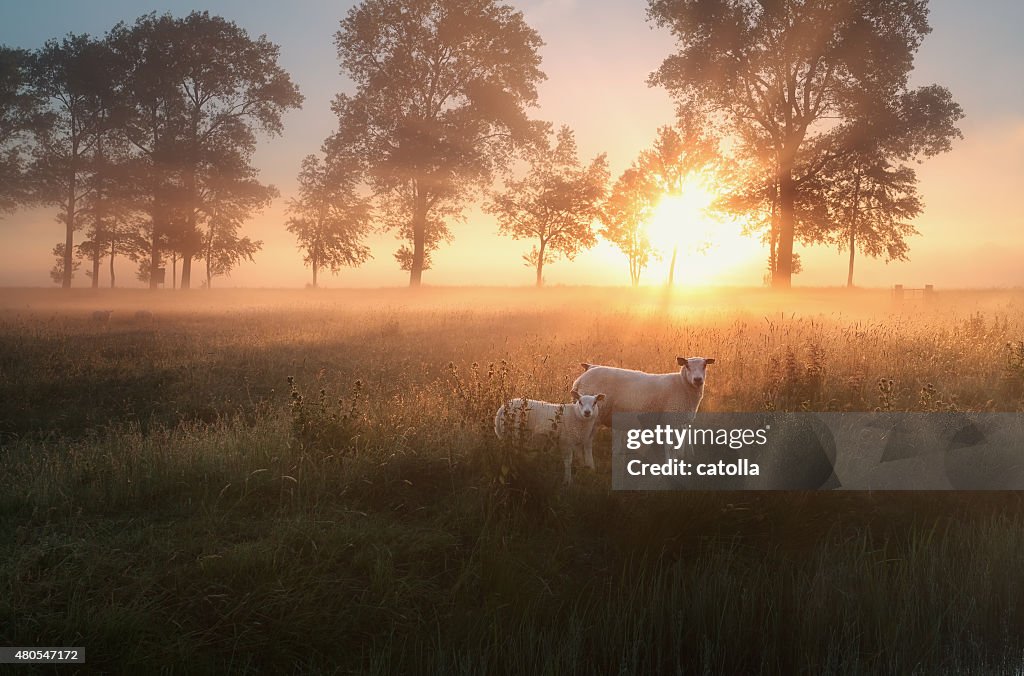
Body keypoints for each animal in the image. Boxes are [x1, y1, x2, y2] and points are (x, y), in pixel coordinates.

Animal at [573, 356, 716, 462]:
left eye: (705, 365)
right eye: (687, 366)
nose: (698, 379)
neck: (682, 385)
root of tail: (579, 380)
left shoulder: (678, 422)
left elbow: (677, 447)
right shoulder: (671, 418)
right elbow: (670, 446)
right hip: (593, 415)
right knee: (587, 441)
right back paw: (590, 465)